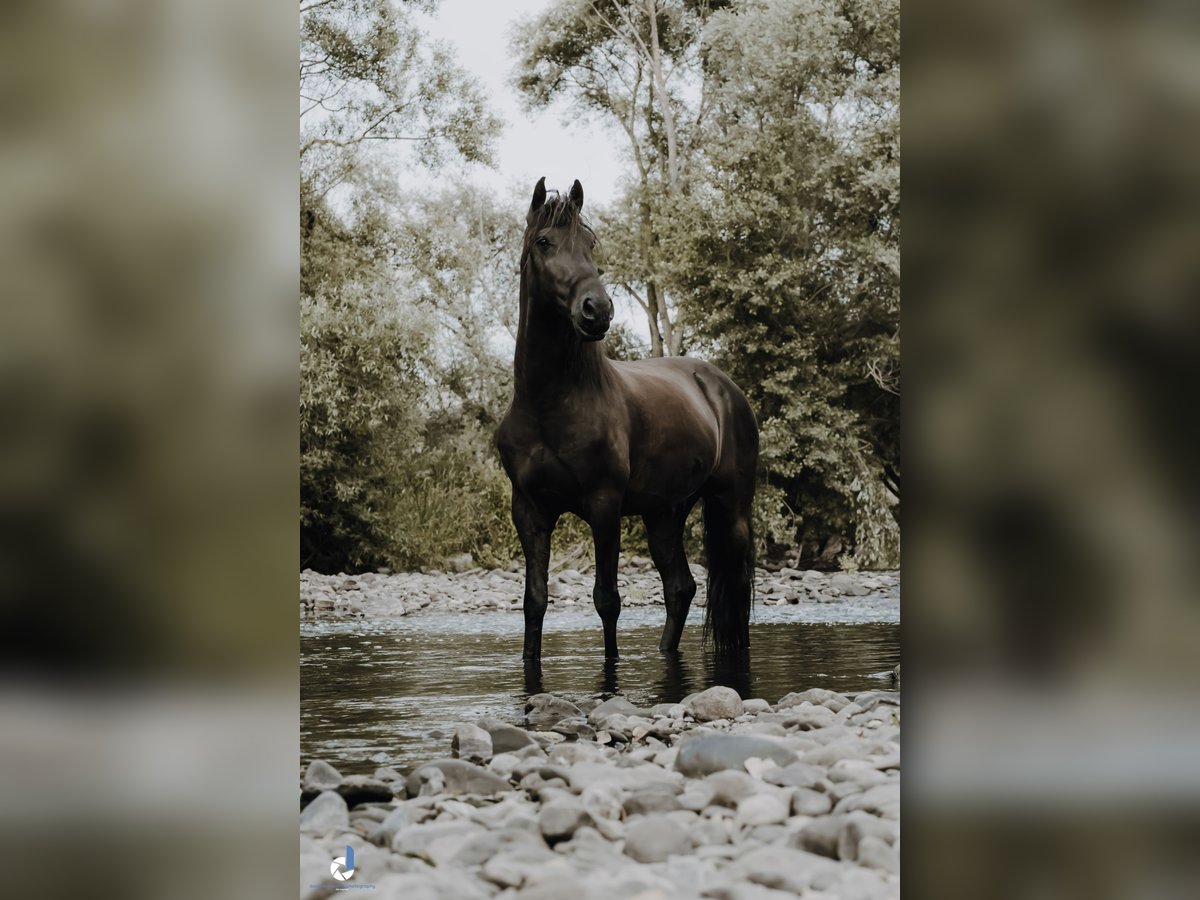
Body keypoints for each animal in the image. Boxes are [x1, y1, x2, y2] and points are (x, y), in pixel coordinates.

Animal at [496, 181, 758, 662]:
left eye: (590, 243)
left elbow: (607, 600)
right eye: (544, 242)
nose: (597, 310)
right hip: (665, 513)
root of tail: (723, 387)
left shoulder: (604, 506)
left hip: (731, 507)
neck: (548, 404)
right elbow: (534, 601)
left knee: (734, 589)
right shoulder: (529, 511)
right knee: (680, 588)